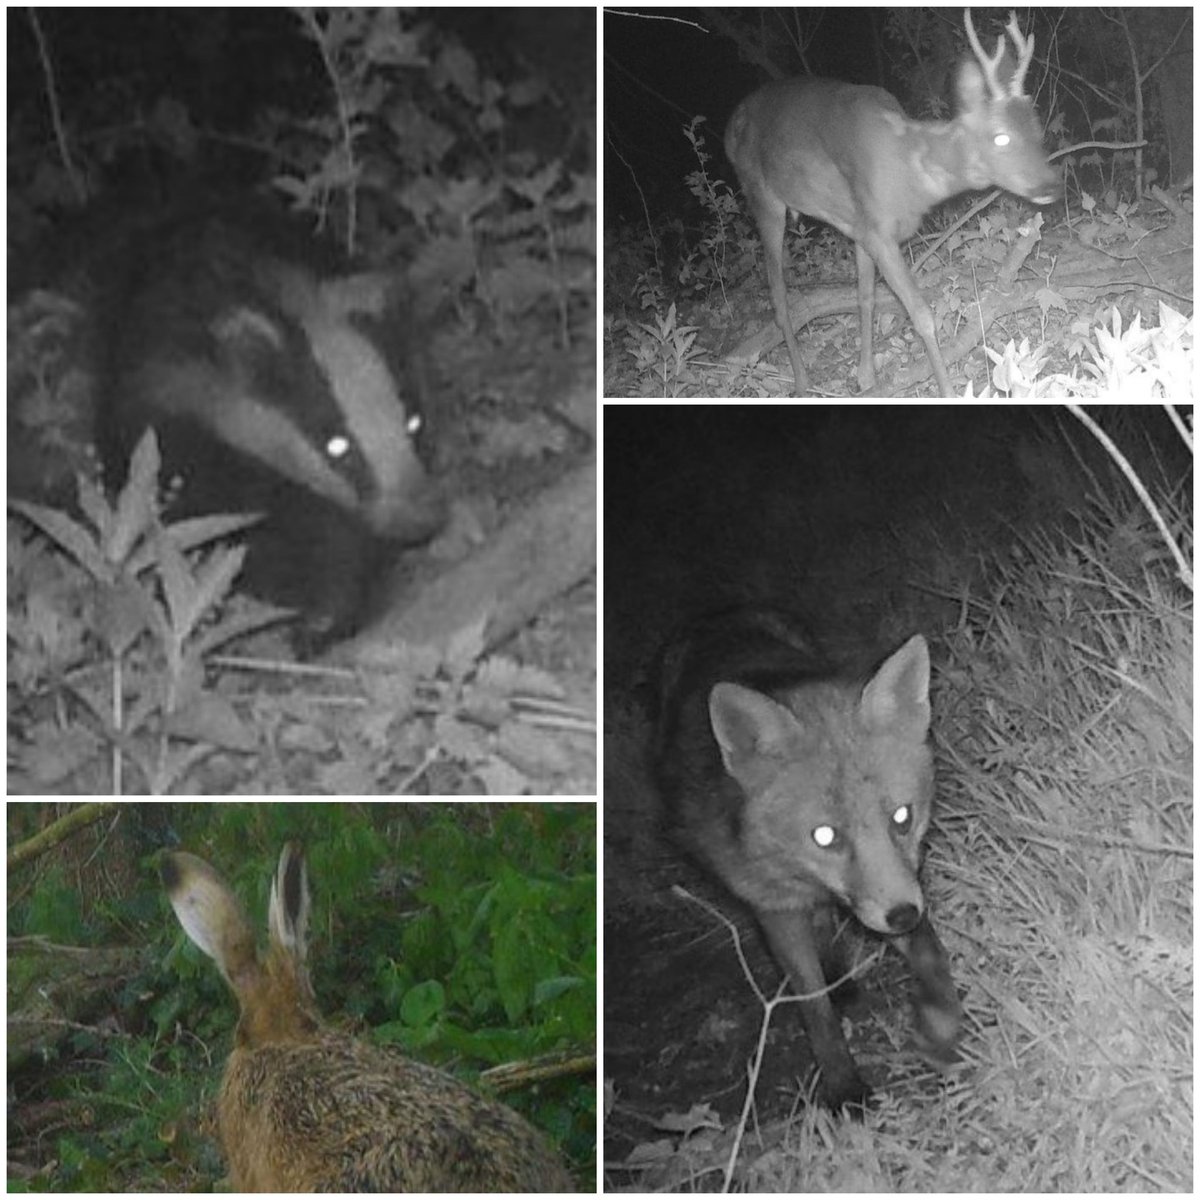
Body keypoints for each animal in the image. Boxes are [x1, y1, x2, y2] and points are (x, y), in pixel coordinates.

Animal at [652, 604, 960, 1108]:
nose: (901, 916)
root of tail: (712, 616)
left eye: (902, 817)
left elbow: (931, 953)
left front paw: (942, 1026)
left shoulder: (898, 882)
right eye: (824, 836)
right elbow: (813, 1007)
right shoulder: (774, 905)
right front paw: (842, 1085)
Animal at [720, 8, 1060, 398]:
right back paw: (803, 382)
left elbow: (865, 295)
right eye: (1000, 137)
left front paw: (865, 377)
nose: (1052, 185)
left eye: (1036, 128)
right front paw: (946, 391)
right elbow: (922, 315)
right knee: (778, 295)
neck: (911, 168)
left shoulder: (861, 226)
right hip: (762, 195)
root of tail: (729, 127)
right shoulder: (879, 232)